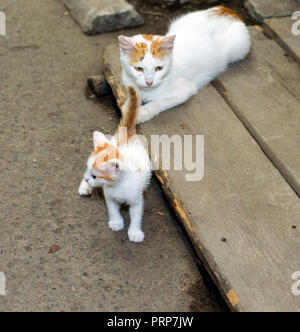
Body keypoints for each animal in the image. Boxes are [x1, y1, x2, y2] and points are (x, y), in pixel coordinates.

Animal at [78, 87, 151, 243]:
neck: (118, 186)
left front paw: (135, 232)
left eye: (95, 176)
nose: (87, 179)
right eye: (89, 171)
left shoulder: (137, 199)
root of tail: (126, 135)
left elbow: (136, 216)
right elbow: (112, 210)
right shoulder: (109, 196)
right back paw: (84, 187)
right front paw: (116, 222)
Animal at [119, 5, 251, 123]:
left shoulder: (185, 90)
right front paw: (129, 107)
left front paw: (143, 112)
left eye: (158, 68)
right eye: (139, 68)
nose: (149, 82)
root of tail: (228, 11)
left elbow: (158, 102)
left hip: (239, 47)